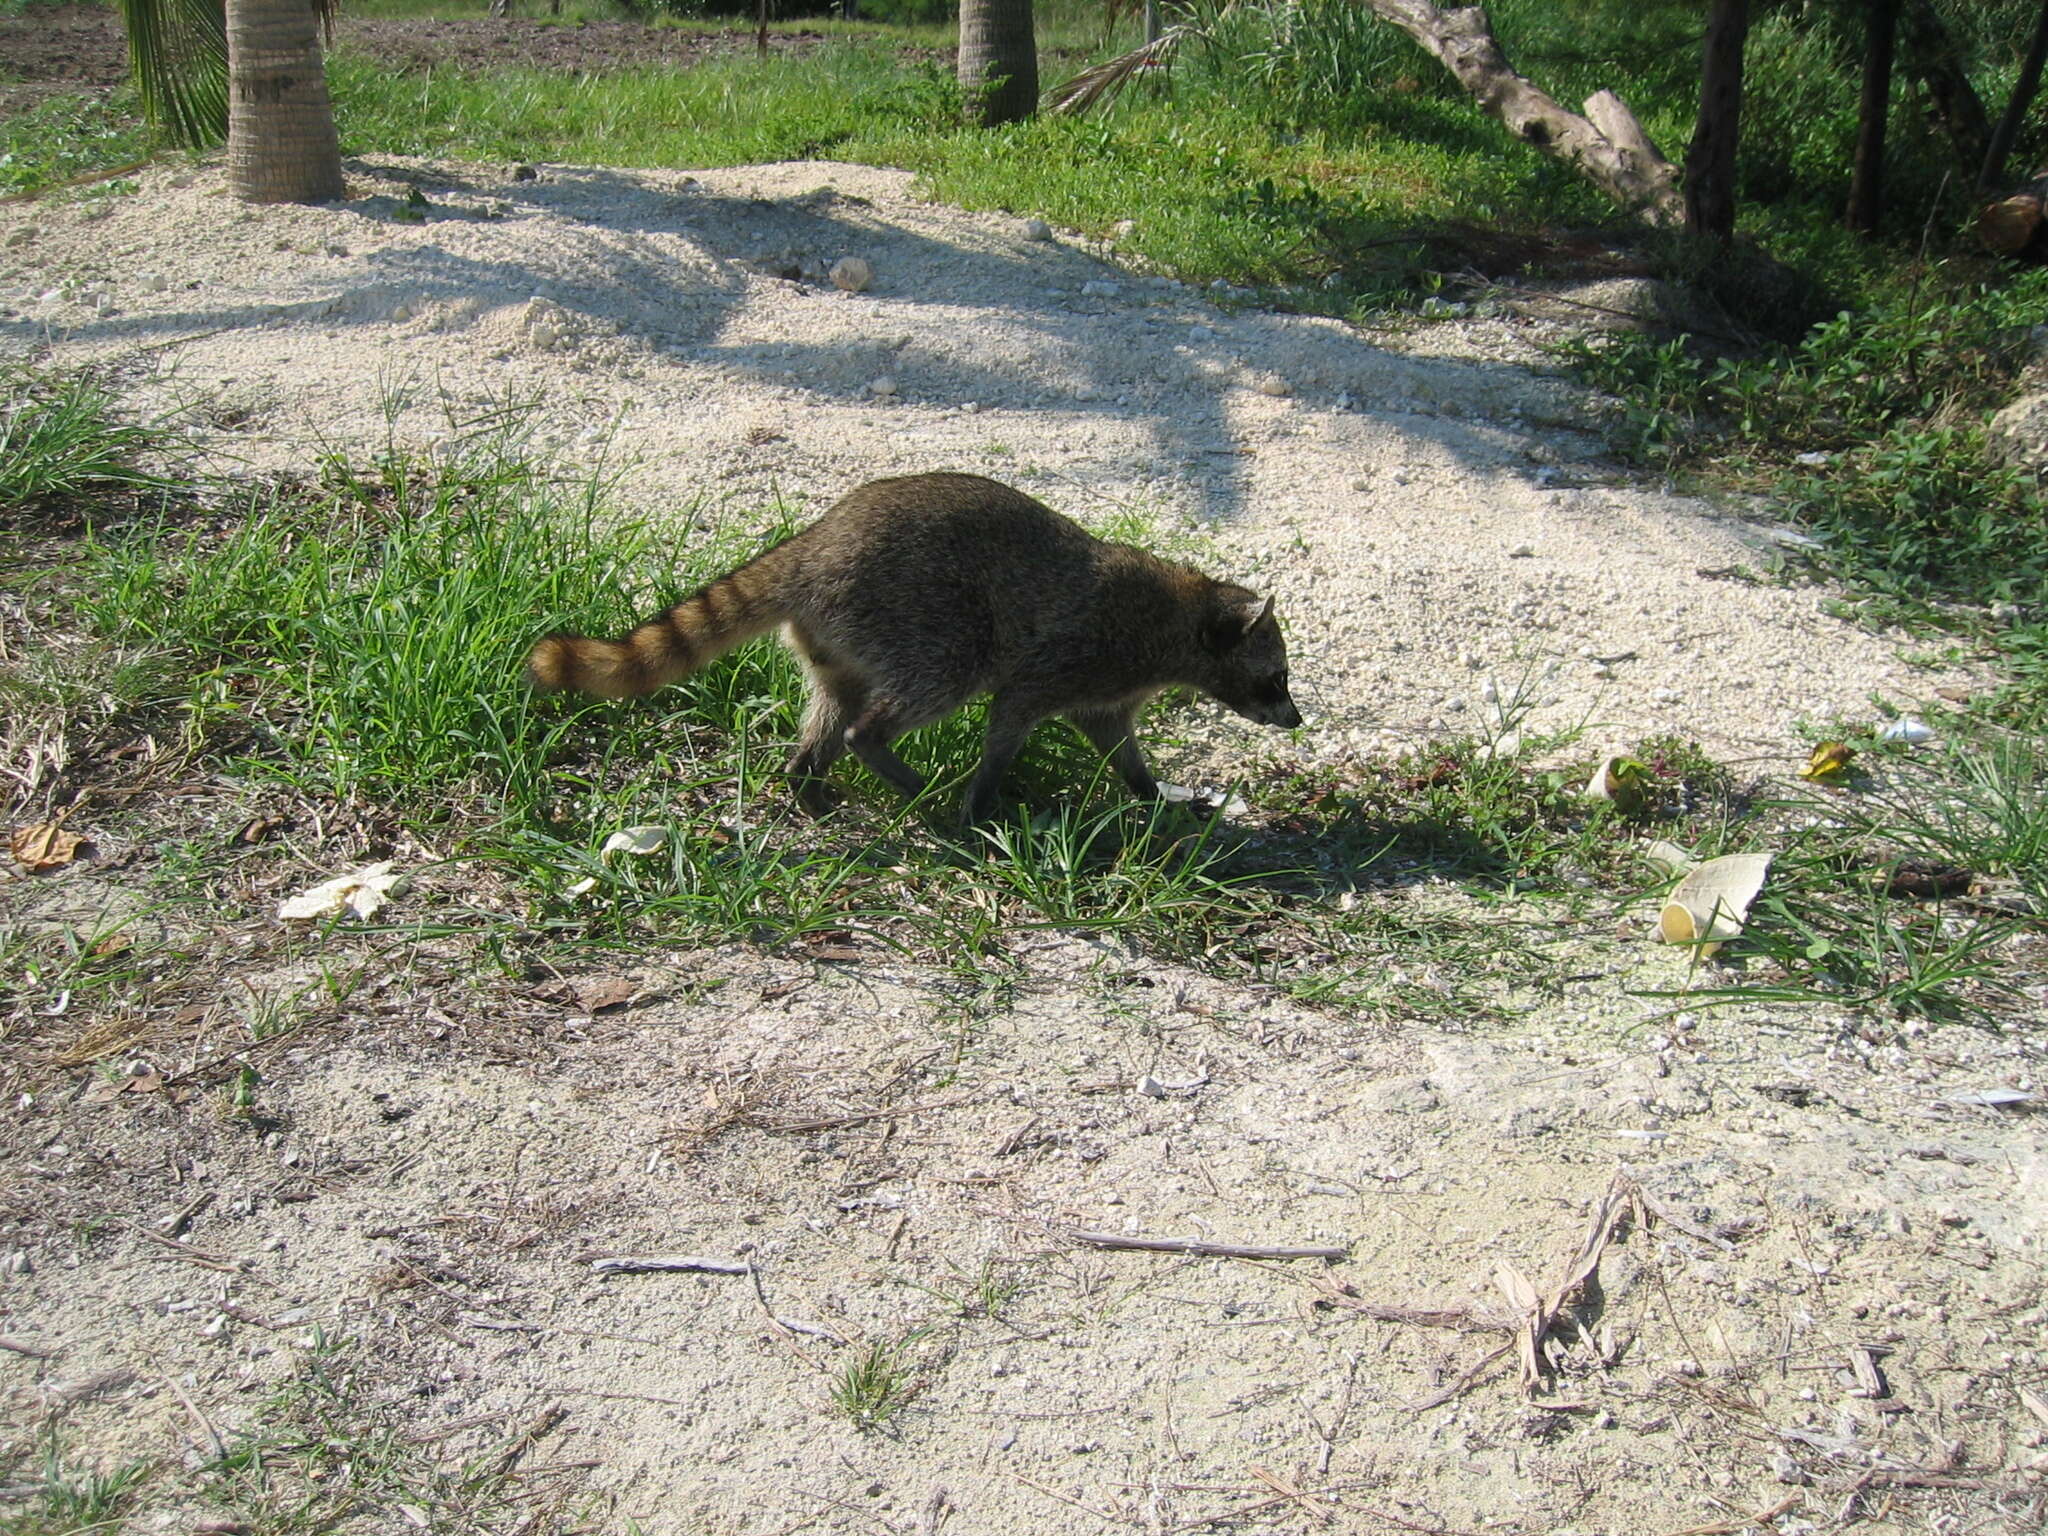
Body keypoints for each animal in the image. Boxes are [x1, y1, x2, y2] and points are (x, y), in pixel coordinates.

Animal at [528, 473, 1294, 823]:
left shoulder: (1108, 689)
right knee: (917, 690)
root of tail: (814, 546)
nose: (1296, 719)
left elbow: (1113, 741)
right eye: (1276, 679)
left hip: (841, 637)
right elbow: (1009, 715)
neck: (1184, 616)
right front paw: (985, 799)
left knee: (834, 706)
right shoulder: (1079, 653)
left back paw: (807, 778)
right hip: (918, 611)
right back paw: (883, 761)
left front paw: (1149, 789)